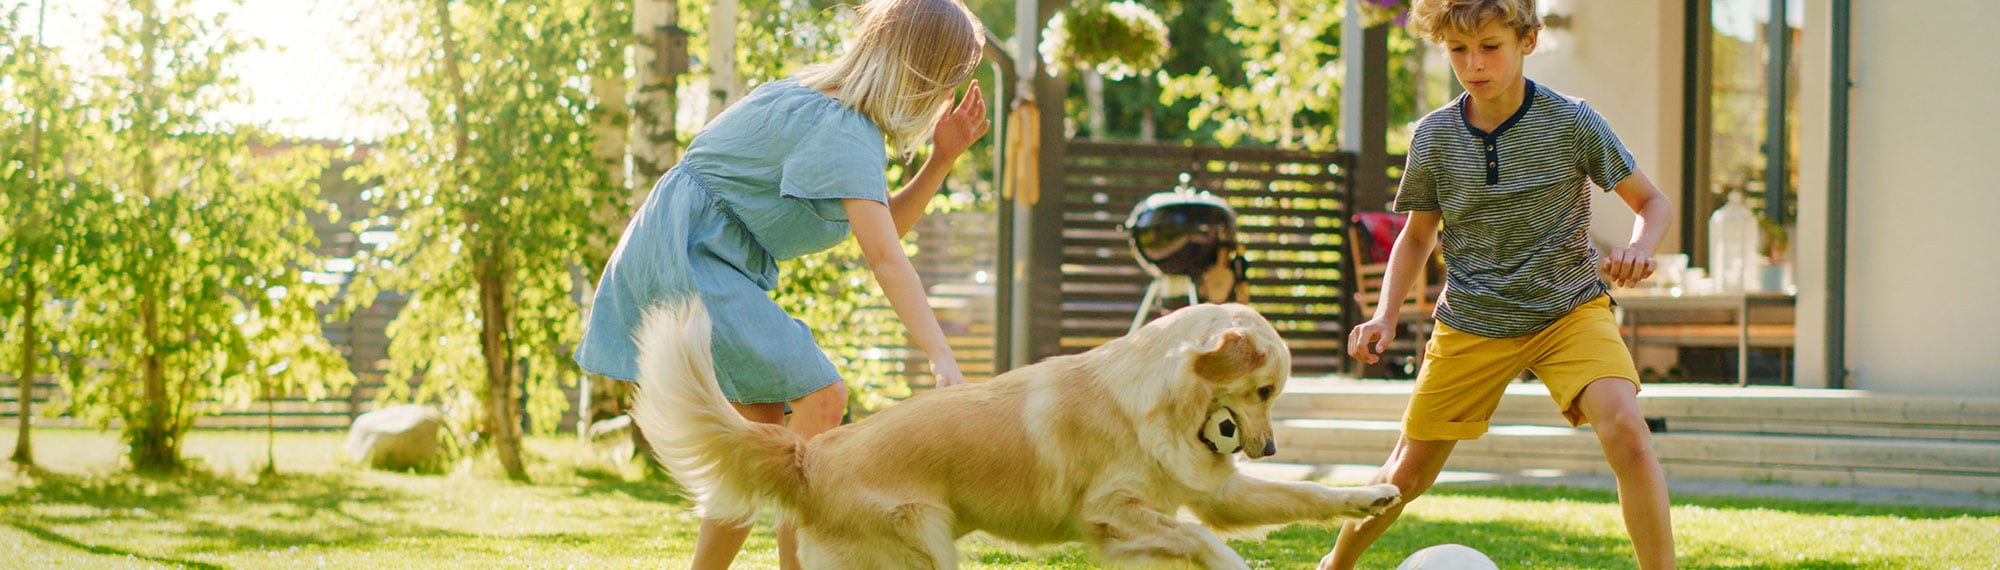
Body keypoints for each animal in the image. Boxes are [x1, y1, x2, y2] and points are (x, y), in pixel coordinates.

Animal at [632, 300, 1400, 564]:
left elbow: (1299, 497)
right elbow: (1204, 538)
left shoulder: (1209, 494)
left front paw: (1368, 495)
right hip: (927, 540)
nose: (1269, 446)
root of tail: (811, 452)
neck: (1155, 403)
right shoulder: (1109, 511)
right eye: (1265, 390)